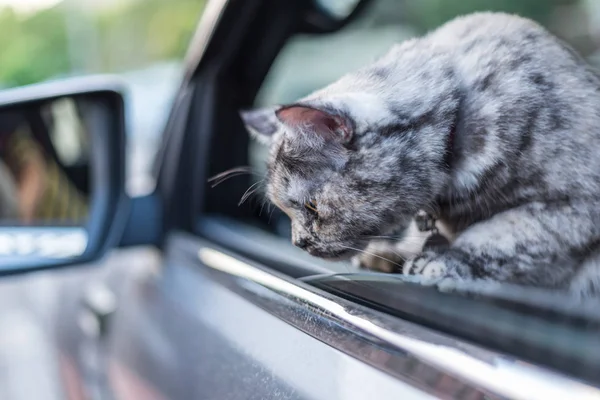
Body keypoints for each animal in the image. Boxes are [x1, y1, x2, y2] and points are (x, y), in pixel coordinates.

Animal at [240, 11, 600, 296]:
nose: (297, 242)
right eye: (286, 210)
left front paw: (446, 261)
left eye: (312, 206)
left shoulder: (573, 208)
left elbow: (504, 236)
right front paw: (401, 254)